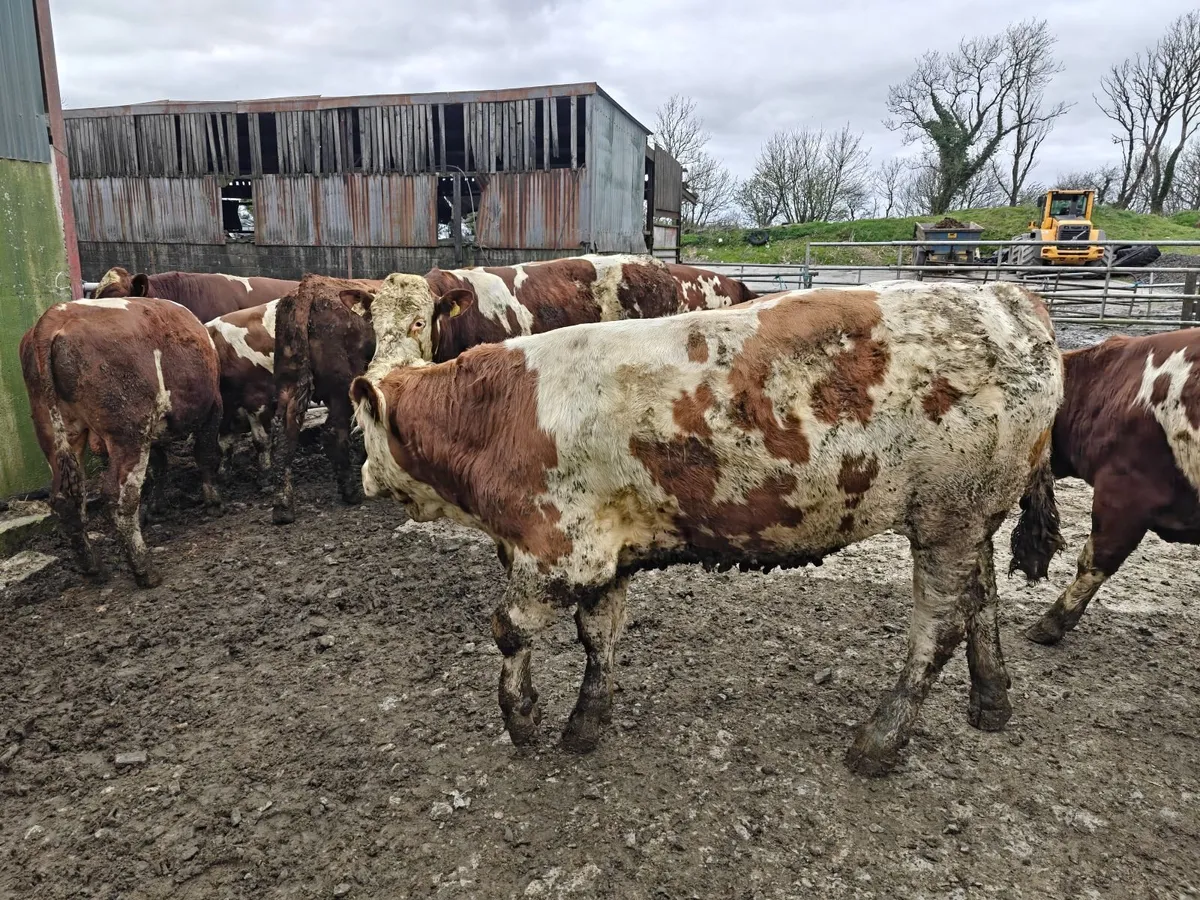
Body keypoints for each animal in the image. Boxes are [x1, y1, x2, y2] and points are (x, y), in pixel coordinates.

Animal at [19, 296, 223, 588]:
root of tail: (53, 317)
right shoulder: (213, 406)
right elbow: (206, 454)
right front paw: (213, 500)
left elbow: (160, 466)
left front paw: (157, 505)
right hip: (128, 432)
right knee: (118, 497)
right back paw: (144, 569)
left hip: (55, 432)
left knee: (66, 499)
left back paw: (92, 567)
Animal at [206, 300, 279, 487]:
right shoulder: (227, 408)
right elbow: (224, 442)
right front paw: (223, 473)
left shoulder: (258, 399)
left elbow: (261, 440)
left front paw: (265, 474)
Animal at [350, 278, 1062, 776]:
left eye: (362, 425)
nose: (362, 476)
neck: (495, 413)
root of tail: (1007, 295)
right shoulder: (604, 550)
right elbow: (598, 637)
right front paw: (585, 722)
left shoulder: (558, 554)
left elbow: (508, 630)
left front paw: (522, 718)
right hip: (970, 513)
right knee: (982, 599)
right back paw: (991, 698)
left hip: (947, 514)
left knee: (937, 626)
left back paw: (881, 739)